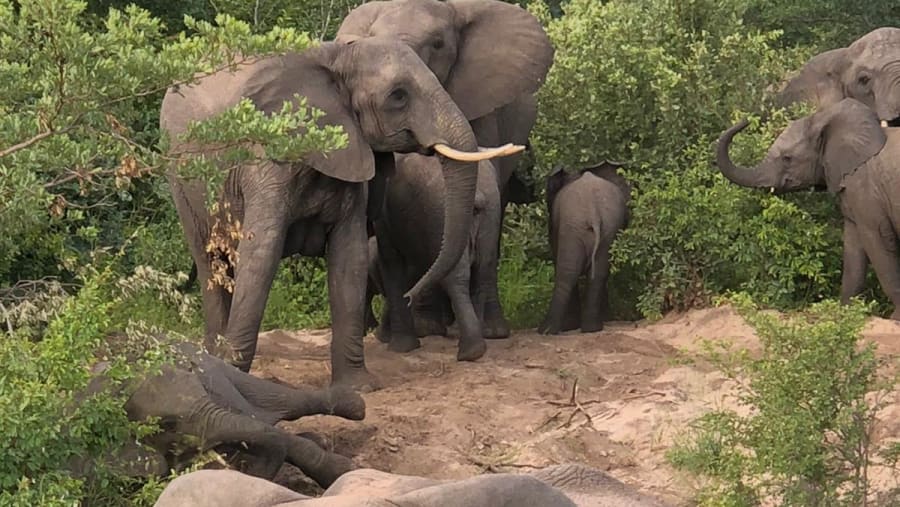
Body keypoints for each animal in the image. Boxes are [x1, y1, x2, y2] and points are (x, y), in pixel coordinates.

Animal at [78, 341, 365, 488]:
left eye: (202, 387)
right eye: (167, 425)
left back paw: (355, 405)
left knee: (280, 402)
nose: (253, 472)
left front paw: (344, 470)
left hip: (220, 369)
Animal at [367, 156, 502, 360]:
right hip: (491, 213)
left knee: (456, 277)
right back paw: (475, 346)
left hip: (440, 213)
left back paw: (469, 351)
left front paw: (398, 347)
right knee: (482, 270)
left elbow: (392, 262)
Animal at [538, 162, 630, 335]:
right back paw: (592, 329)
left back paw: (547, 330)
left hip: (573, 227)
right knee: (599, 273)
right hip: (609, 228)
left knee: (567, 273)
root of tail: (593, 211)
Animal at [716, 97, 900, 320]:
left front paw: (895, 319)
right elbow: (853, 251)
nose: (745, 118)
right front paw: (843, 315)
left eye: (787, 158)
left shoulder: (865, 190)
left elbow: (879, 244)